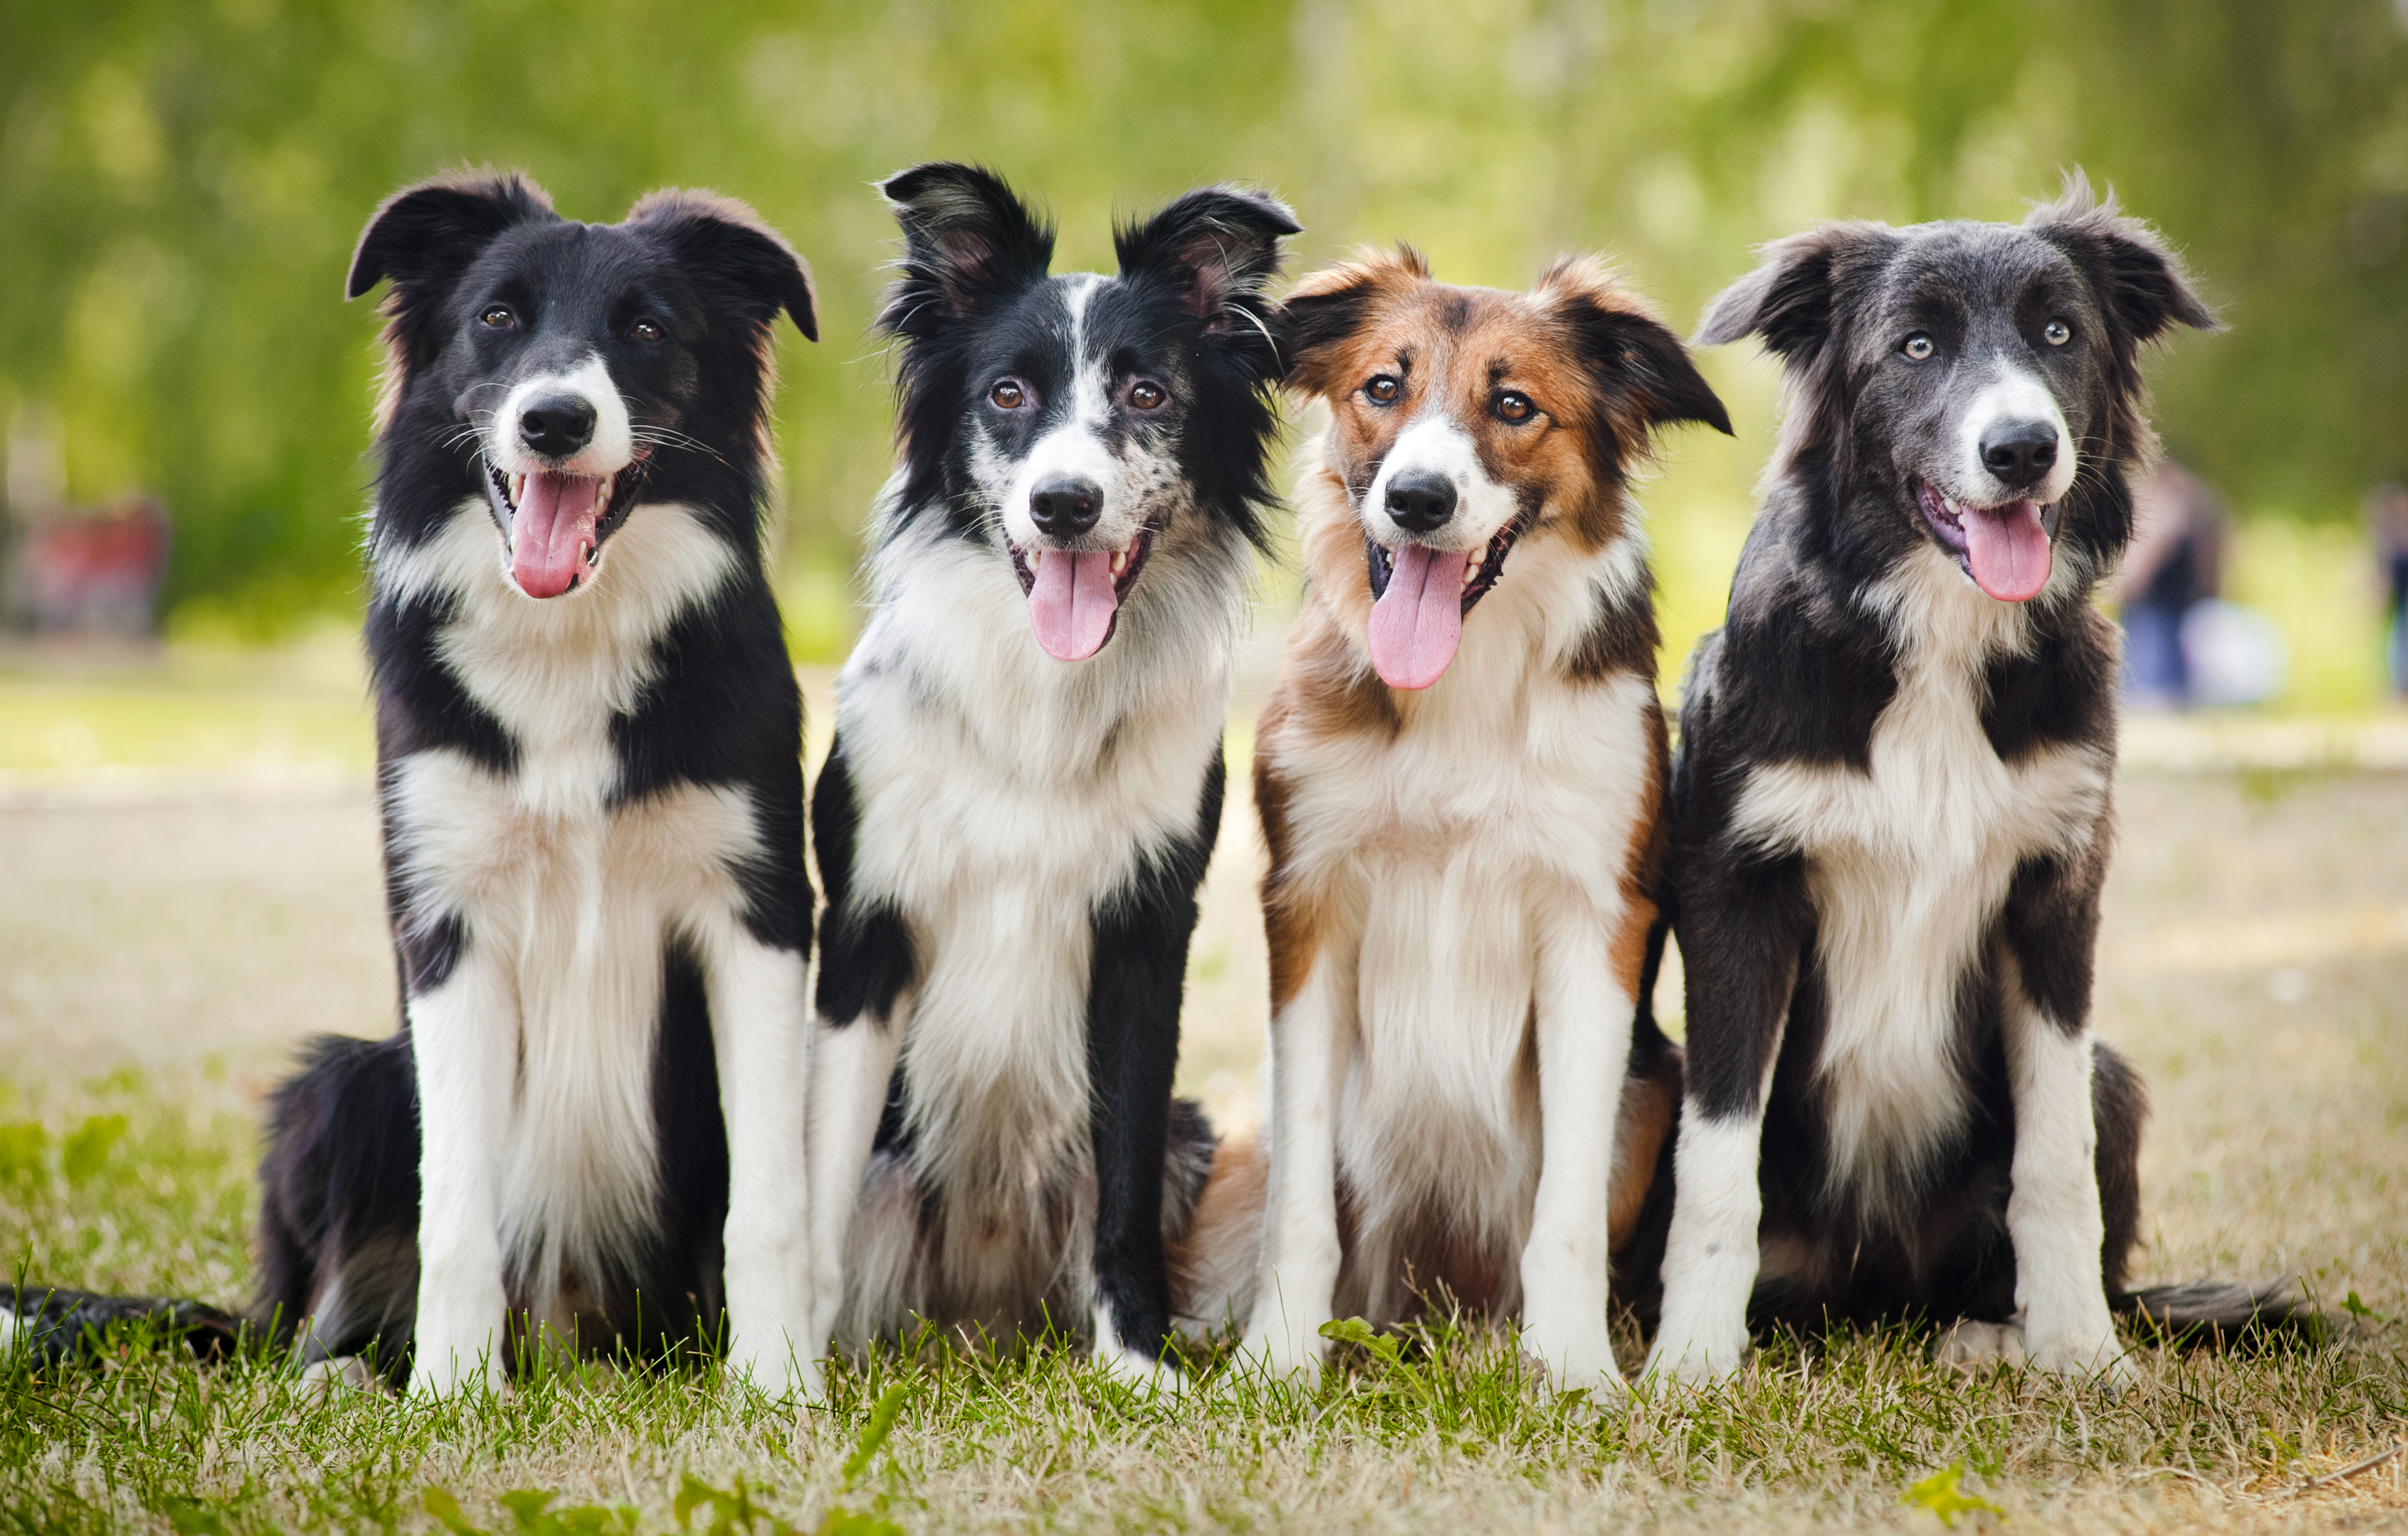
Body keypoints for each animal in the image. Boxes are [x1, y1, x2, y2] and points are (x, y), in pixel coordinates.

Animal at [804, 166, 1300, 1396]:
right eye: (1009, 393)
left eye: (1148, 392)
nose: (1064, 504)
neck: (1041, 695)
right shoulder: (866, 929)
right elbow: (817, 1183)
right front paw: (788, 1363)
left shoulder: (1144, 930)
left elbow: (1121, 1186)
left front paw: (1136, 1361)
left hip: (1193, 1129)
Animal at [1647, 178, 2244, 1387]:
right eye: (1915, 346)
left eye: (2059, 333)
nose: (2022, 449)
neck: (1935, 636)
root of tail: (1873, 1288)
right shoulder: (1737, 894)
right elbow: (1718, 1159)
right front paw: (1687, 1365)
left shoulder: (2056, 894)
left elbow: (2054, 1161)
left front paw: (2082, 1351)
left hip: (2114, 1073)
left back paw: (1992, 1333)